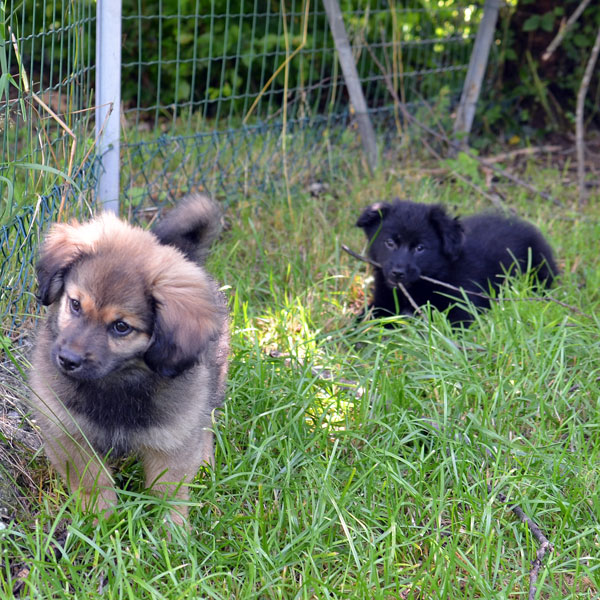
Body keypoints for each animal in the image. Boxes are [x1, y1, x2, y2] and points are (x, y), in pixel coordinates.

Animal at [28, 196, 230, 524]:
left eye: (121, 326)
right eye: (75, 304)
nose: (67, 360)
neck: (116, 382)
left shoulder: (172, 437)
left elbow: (168, 494)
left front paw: (172, 533)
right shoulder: (69, 433)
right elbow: (93, 484)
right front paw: (102, 524)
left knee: (205, 426)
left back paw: (205, 464)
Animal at [356, 200, 556, 324]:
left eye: (420, 248)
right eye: (389, 243)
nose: (397, 272)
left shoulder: (462, 307)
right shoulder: (382, 302)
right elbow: (363, 319)